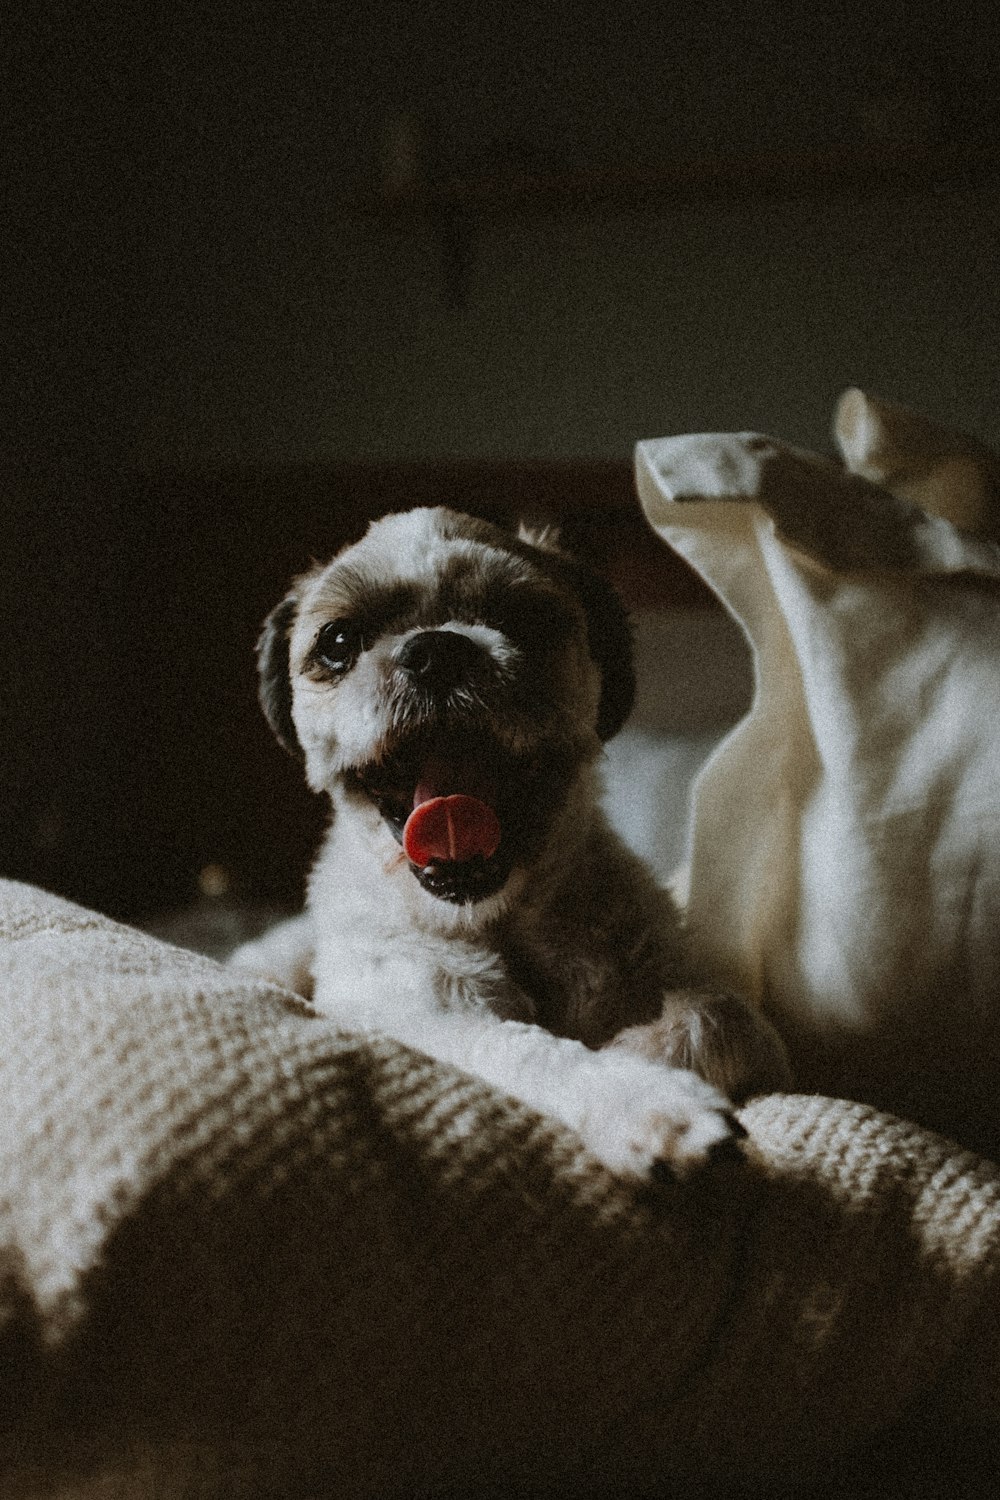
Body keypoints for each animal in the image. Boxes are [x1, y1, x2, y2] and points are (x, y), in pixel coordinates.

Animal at [230, 510, 785, 1176]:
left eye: (527, 620)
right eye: (339, 643)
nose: (435, 648)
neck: (502, 921)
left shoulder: (696, 986)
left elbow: (720, 1015)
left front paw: (641, 1048)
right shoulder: (427, 1010)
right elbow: (530, 1051)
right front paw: (646, 1100)